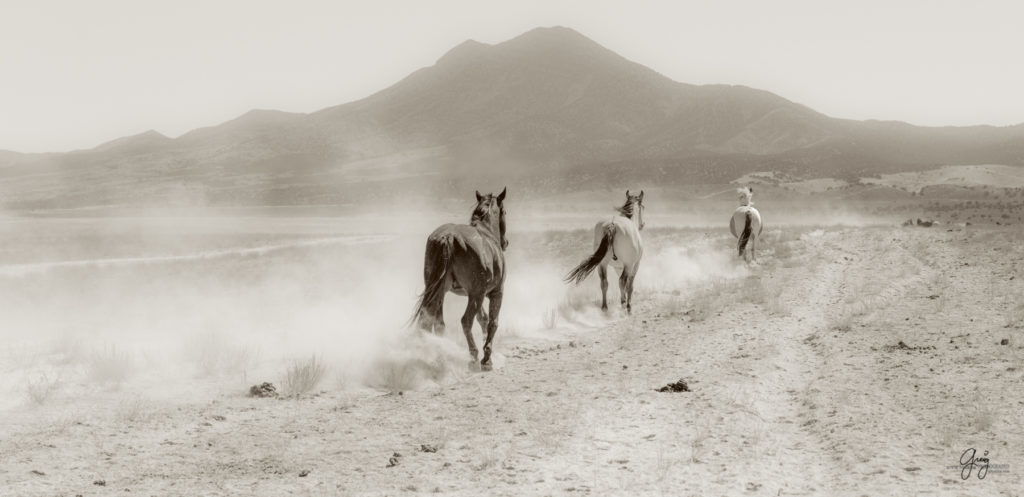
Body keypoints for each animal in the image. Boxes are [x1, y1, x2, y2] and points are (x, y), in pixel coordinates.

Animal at [407, 187, 503, 370]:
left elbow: (483, 318)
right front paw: (487, 358)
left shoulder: (472, 294)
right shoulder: (494, 293)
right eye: (504, 212)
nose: (505, 242)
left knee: (433, 323)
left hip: (439, 292)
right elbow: (492, 322)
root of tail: (449, 237)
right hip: (472, 295)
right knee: (465, 321)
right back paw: (473, 357)